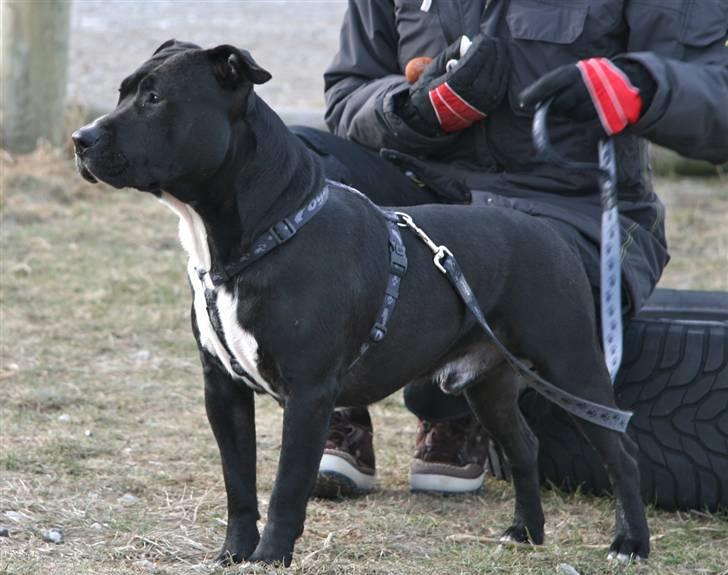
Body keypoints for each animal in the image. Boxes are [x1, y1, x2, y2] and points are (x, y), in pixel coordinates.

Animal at [71, 41, 648, 568]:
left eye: (154, 98)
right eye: (123, 92)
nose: (80, 138)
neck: (260, 235)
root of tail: (544, 231)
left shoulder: (308, 394)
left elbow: (285, 487)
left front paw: (269, 558)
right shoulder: (223, 389)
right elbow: (239, 483)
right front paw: (233, 554)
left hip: (570, 364)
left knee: (620, 453)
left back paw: (630, 543)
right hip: (489, 381)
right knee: (525, 446)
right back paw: (526, 532)